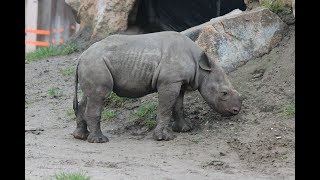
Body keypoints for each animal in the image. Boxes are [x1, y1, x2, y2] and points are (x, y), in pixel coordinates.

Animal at [73, 31, 242, 143]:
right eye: (224, 93)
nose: (236, 111)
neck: (201, 69)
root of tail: (81, 56)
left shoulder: (179, 82)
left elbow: (178, 106)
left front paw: (185, 129)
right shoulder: (169, 82)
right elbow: (165, 108)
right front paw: (164, 138)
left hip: (92, 63)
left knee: (89, 96)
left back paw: (80, 136)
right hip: (96, 63)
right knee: (99, 95)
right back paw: (100, 140)